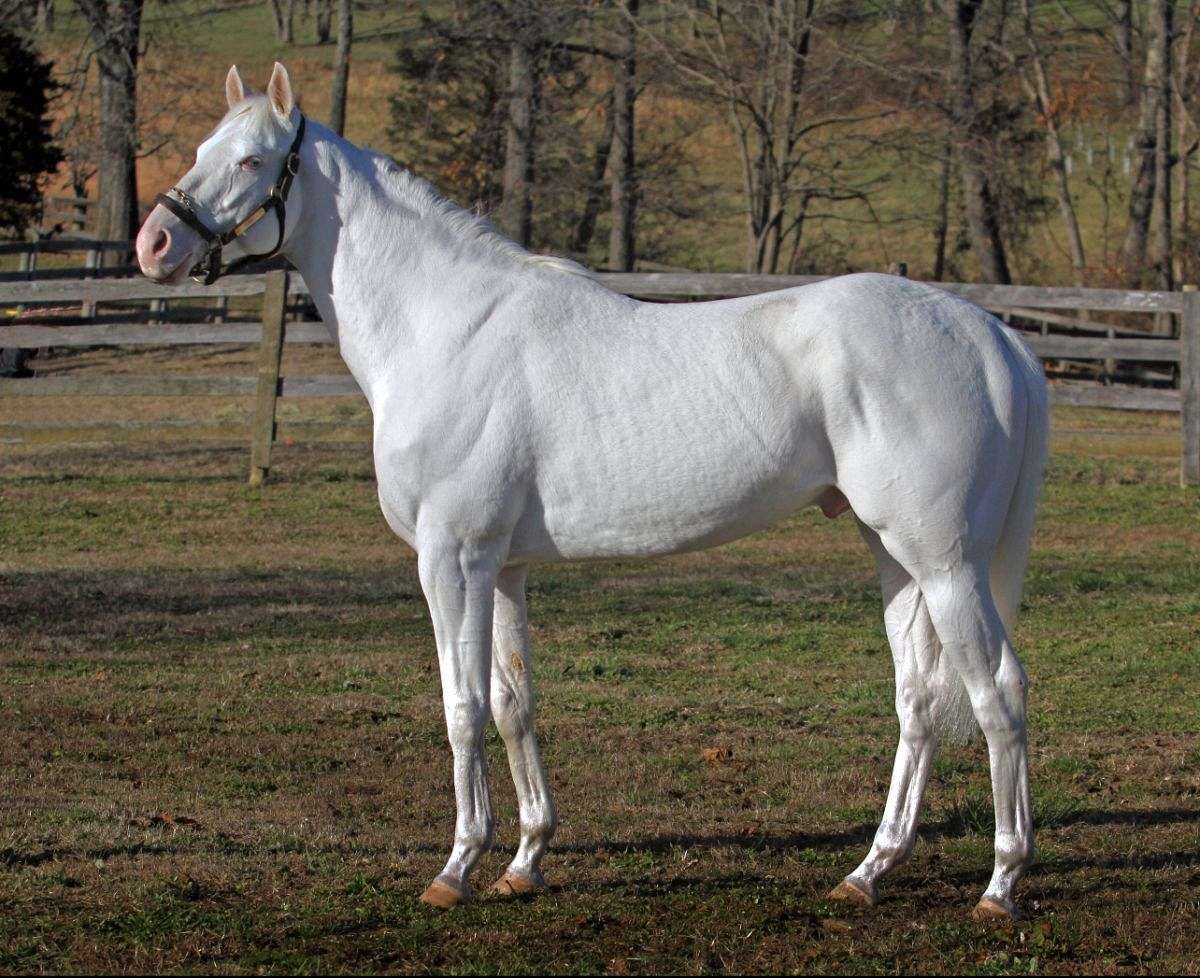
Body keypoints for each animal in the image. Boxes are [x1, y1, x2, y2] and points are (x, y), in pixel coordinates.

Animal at [136, 63, 1048, 922]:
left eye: (251, 160)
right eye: (201, 149)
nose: (154, 242)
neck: (447, 330)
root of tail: (992, 335)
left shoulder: (451, 560)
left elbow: (462, 706)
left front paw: (456, 869)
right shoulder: (501, 568)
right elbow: (514, 703)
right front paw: (524, 861)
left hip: (945, 564)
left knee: (996, 696)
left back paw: (1001, 884)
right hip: (893, 555)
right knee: (919, 701)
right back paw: (869, 873)